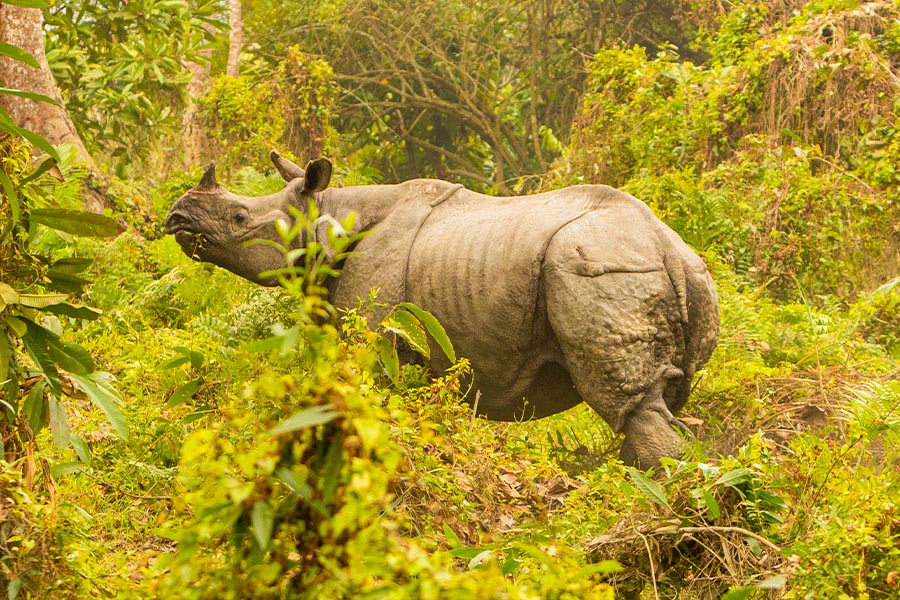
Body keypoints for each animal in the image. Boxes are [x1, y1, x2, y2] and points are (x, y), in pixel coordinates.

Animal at [165, 151, 720, 468]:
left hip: (598, 268)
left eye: (240, 218)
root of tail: (671, 251)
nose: (175, 217)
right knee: (665, 402)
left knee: (630, 405)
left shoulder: (376, 329)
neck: (330, 213)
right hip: (680, 277)